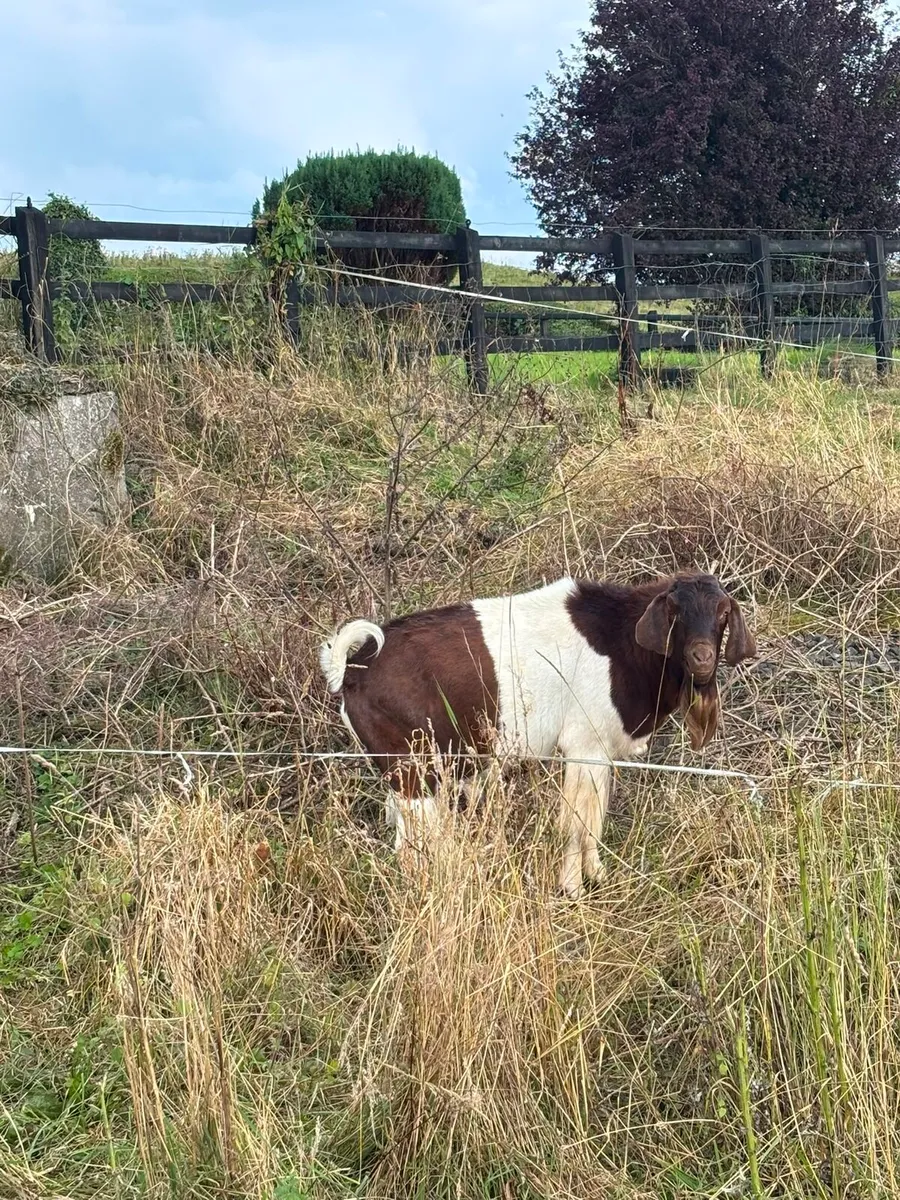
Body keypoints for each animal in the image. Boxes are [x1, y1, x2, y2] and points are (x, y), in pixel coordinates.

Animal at [319, 572, 756, 896]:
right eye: (674, 612)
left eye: (722, 614)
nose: (702, 658)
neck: (622, 644)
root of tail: (350, 673)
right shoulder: (584, 748)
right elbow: (576, 825)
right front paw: (573, 889)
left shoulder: (600, 754)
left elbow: (594, 820)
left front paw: (598, 875)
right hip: (413, 770)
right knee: (416, 847)